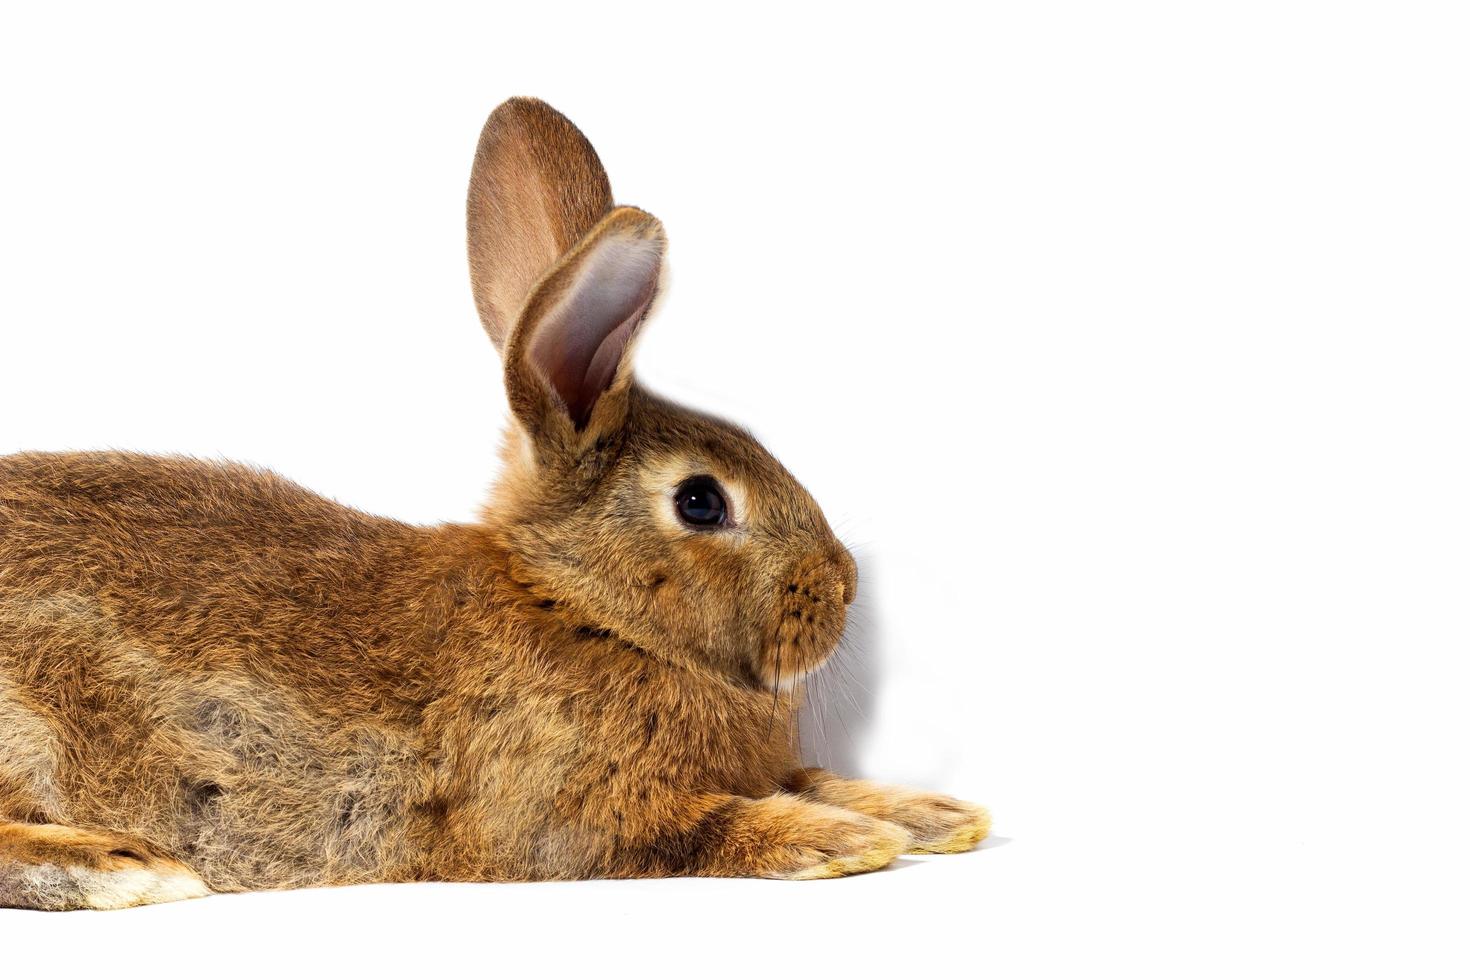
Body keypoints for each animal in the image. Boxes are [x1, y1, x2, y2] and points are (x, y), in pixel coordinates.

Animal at [0, 99, 993, 910]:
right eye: (702, 502)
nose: (844, 585)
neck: (578, 606)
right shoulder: (562, 816)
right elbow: (707, 824)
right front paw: (848, 840)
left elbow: (814, 775)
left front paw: (936, 814)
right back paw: (126, 866)